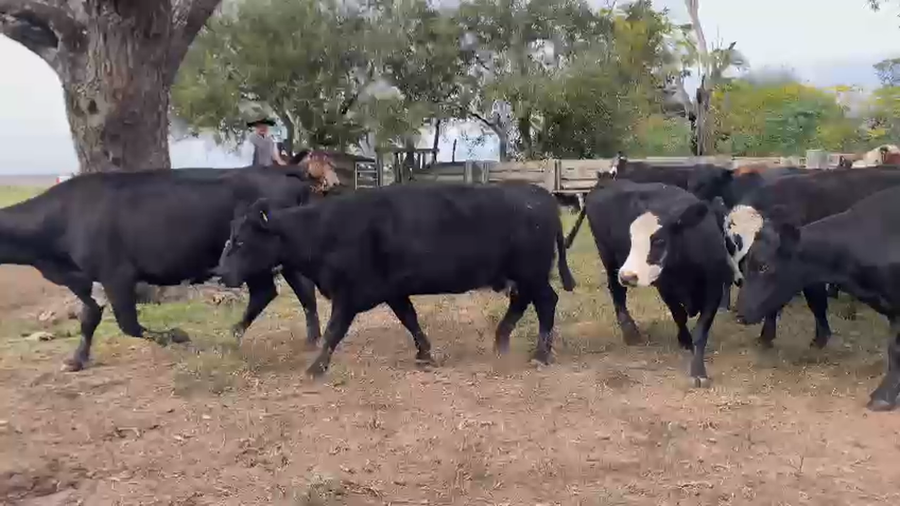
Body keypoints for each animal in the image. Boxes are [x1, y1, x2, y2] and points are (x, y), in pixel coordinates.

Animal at [0, 166, 325, 372]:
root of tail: (280, 172)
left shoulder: (117, 274)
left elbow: (128, 324)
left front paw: (179, 336)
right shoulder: (87, 279)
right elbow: (89, 318)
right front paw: (77, 359)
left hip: (256, 259)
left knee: (268, 291)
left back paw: (233, 334)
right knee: (296, 290)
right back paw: (308, 337)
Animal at [215, 181, 576, 377]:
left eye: (241, 242)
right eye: (230, 237)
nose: (221, 273)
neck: (326, 229)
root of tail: (540, 195)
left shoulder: (349, 294)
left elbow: (334, 331)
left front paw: (315, 368)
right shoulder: (392, 291)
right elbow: (409, 318)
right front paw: (425, 354)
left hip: (531, 273)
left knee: (547, 301)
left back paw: (540, 354)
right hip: (521, 275)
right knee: (523, 302)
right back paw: (500, 342)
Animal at [563, 181, 732, 387]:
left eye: (659, 240)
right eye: (632, 239)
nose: (627, 276)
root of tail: (605, 182)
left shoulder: (714, 289)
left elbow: (701, 331)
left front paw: (698, 370)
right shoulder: (665, 288)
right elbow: (679, 315)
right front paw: (685, 340)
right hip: (608, 255)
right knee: (616, 292)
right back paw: (630, 331)